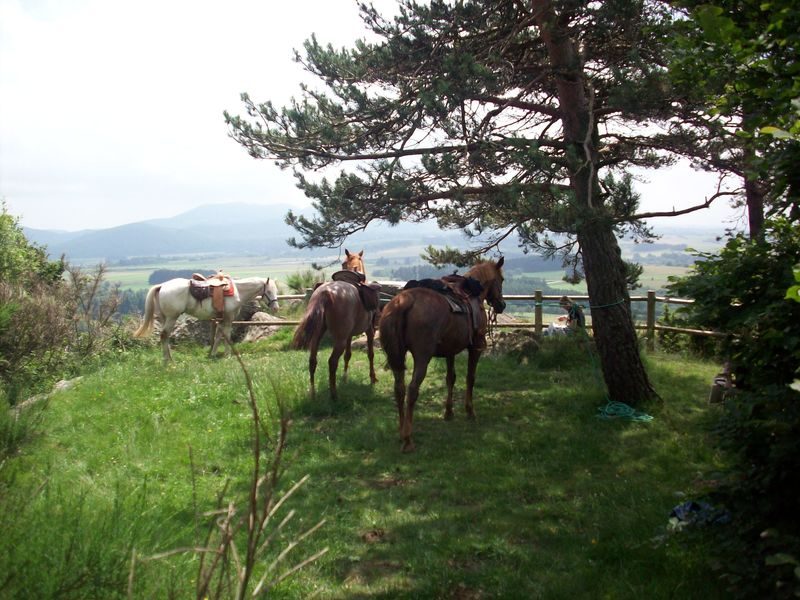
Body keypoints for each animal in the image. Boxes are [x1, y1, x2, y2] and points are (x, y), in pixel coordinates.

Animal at [134, 276, 278, 360]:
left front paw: (213, 354)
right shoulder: (228, 318)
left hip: (166, 318)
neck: (238, 291)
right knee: (164, 335)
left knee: (166, 336)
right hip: (171, 318)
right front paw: (227, 355)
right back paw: (167, 361)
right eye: (269, 291)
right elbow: (227, 336)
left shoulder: (221, 319)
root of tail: (162, 286)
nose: (276, 308)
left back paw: (169, 358)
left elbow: (219, 336)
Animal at [292, 251, 380, 400]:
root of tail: (324, 293)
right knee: (332, 362)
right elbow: (370, 354)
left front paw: (345, 378)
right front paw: (373, 378)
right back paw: (334, 394)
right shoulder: (369, 331)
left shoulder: (349, 335)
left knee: (312, 361)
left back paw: (313, 393)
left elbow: (348, 355)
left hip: (317, 336)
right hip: (340, 340)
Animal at [380, 255, 506, 452]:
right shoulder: (476, 347)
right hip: (422, 357)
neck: (473, 292)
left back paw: (401, 431)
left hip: (397, 356)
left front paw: (448, 412)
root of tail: (404, 301)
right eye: (501, 280)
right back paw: (408, 439)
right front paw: (470, 411)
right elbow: (470, 378)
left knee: (399, 388)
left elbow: (450, 378)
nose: (501, 305)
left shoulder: (450, 351)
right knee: (412, 390)